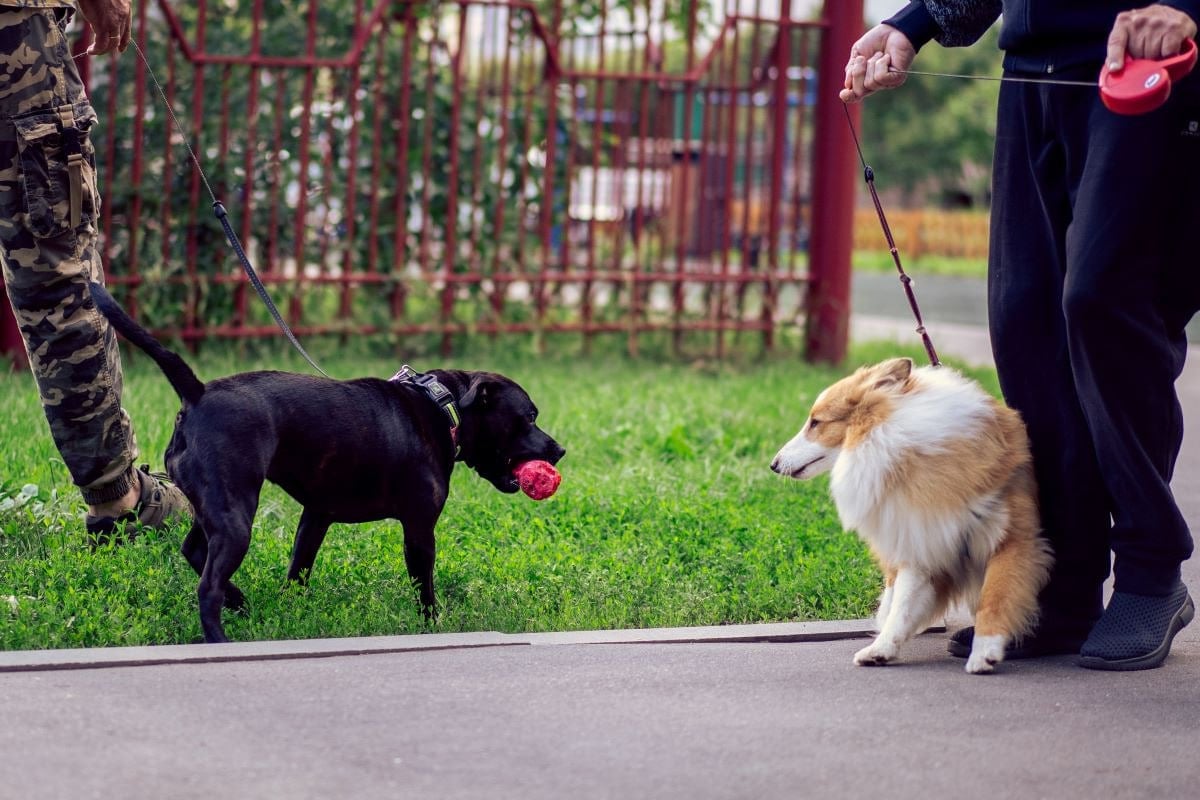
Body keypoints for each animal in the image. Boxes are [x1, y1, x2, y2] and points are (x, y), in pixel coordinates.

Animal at [88, 281, 566, 642]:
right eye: (528, 417)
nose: (559, 450)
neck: (442, 405)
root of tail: (198, 392)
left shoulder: (315, 516)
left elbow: (299, 568)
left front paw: (290, 611)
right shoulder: (419, 529)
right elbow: (424, 587)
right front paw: (433, 625)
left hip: (215, 507)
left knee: (194, 550)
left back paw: (240, 603)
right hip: (236, 514)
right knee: (207, 585)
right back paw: (219, 636)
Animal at [768, 359, 1051, 671]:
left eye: (816, 422)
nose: (774, 464)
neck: (890, 439)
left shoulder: (1012, 540)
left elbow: (995, 598)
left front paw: (983, 653)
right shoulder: (920, 541)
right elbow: (902, 607)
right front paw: (880, 649)